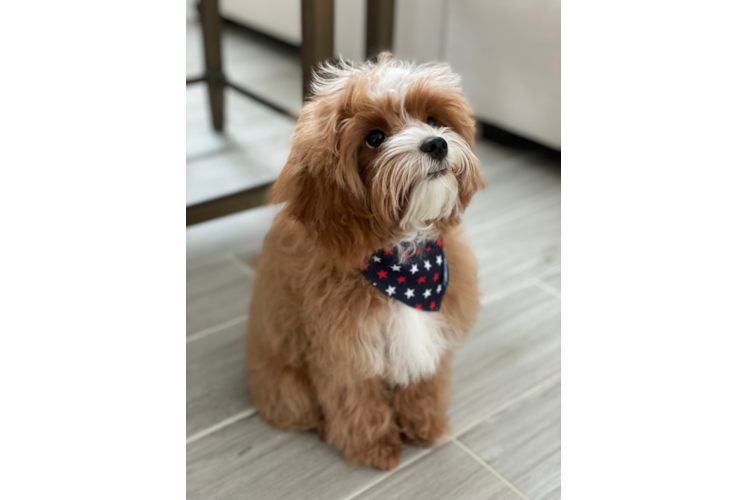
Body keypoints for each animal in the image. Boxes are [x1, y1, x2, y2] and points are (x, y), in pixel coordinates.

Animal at [248, 52, 486, 470]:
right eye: (374, 138)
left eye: (432, 119)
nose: (436, 143)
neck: (401, 260)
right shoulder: (341, 350)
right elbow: (355, 400)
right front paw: (376, 447)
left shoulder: (431, 333)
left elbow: (424, 380)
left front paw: (426, 425)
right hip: (288, 387)